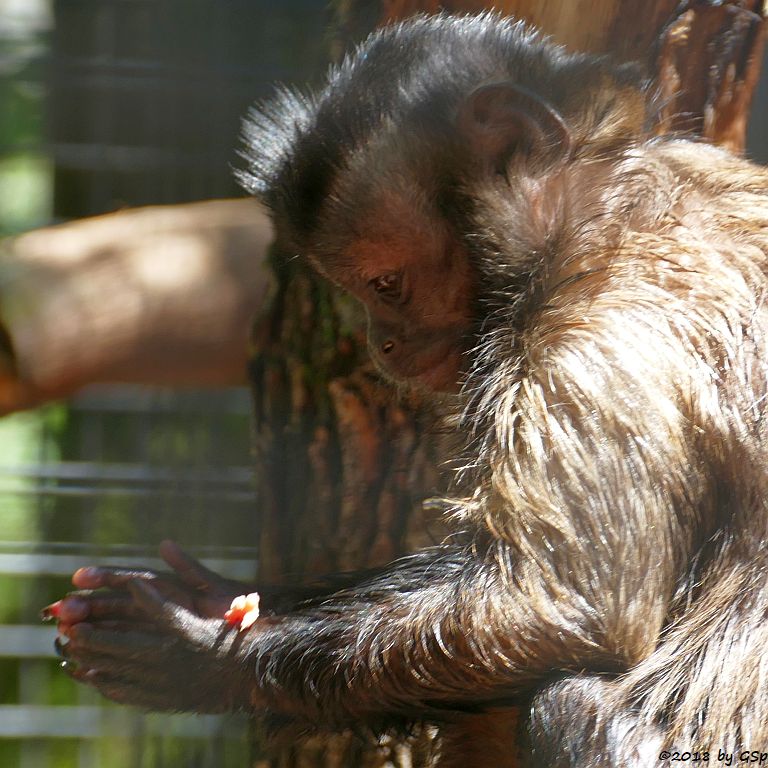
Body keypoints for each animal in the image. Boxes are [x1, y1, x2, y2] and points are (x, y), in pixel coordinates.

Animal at [45, 13, 768, 768]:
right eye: (364, 292)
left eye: (385, 284)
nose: (380, 342)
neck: (593, 201)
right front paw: (234, 597)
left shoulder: (598, 325)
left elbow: (569, 608)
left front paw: (205, 657)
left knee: (562, 699)